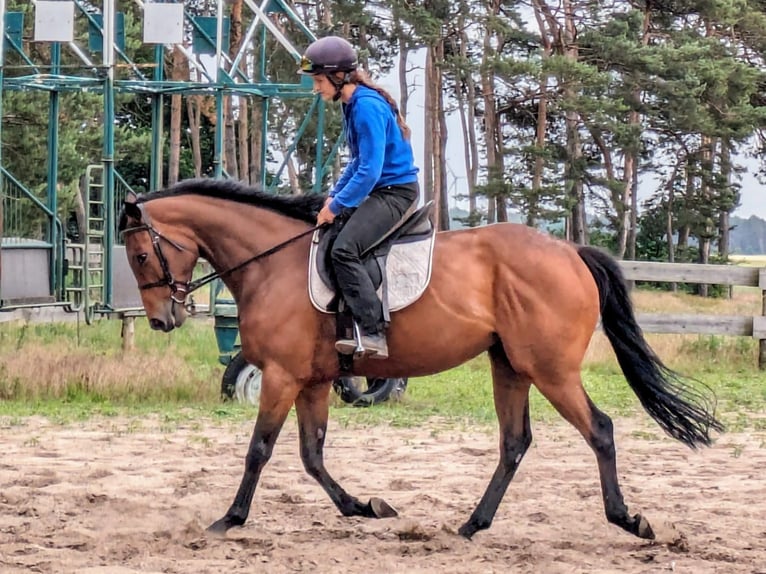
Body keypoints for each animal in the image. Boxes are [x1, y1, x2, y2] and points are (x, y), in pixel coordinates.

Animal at [121, 180, 728, 544]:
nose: (162, 320)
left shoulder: (281, 376)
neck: (273, 264)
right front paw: (364, 507)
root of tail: (570, 251)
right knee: (514, 443)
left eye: (142, 253)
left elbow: (259, 451)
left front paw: (230, 519)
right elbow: (312, 456)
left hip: (550, 370)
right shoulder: (312, 380)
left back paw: (627, 519)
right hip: (510, 366)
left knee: (599, 429)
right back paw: (472, 525)